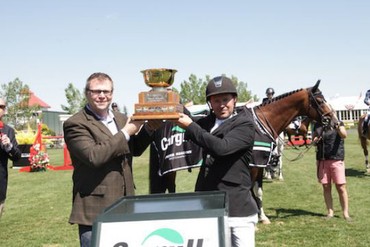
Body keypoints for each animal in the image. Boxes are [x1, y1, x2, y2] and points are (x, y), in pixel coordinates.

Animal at [250, 79, 340, 224]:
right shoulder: (252, 166)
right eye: (320, 101)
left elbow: (258, 191)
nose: (335, 122)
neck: (260, 124)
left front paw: (262, 217)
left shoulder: (259, 165)